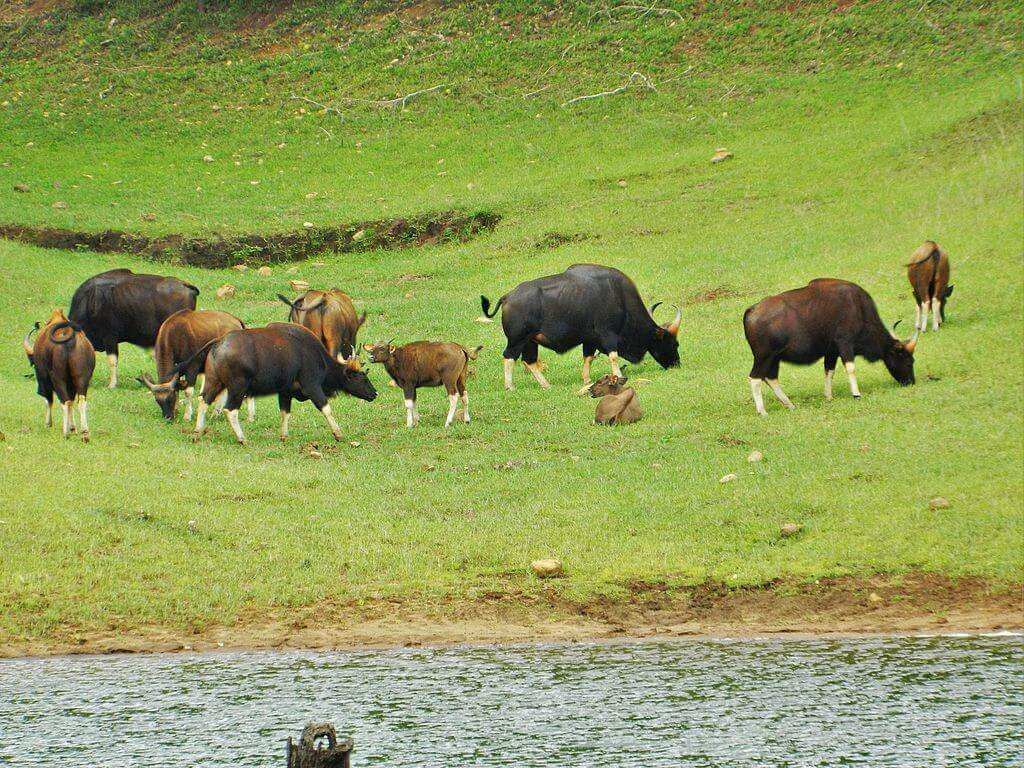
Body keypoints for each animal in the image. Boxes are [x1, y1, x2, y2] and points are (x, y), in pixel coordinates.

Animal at [23, 309, 96, 442]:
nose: (38, 390)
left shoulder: (44, 381)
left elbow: (49, 400)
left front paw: (48, 424)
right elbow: (72, 401)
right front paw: (73, 428)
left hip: (58, 378)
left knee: (64, 401)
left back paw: (65, 433)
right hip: (82, 378)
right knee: (80, 401)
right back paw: (84, 433)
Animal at [185, 323, 376, 444]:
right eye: (362, 377)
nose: (374, 393)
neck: (316, 356)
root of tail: (220, 342)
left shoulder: (285, 392)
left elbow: (285, 413)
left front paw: (284, 436)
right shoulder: (312, 387)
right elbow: (326, 408)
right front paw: (338, 433)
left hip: (213, 381)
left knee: (203, 401)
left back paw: (196, 433)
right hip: (237, 388)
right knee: (229, 410)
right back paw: (242, 438)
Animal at [741, 280, 917, 415]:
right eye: (908, 361)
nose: (911, 382)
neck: (859, 308)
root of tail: (751, 310)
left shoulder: (831, 351)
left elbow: (829, 371)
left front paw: (828, 396)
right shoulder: (845, 344)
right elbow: (850, 368)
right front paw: (856, 394)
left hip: (774, 358)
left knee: (771, 378)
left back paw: (789, 404)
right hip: (764, 357)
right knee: (755, 378)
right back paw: (762, 411)